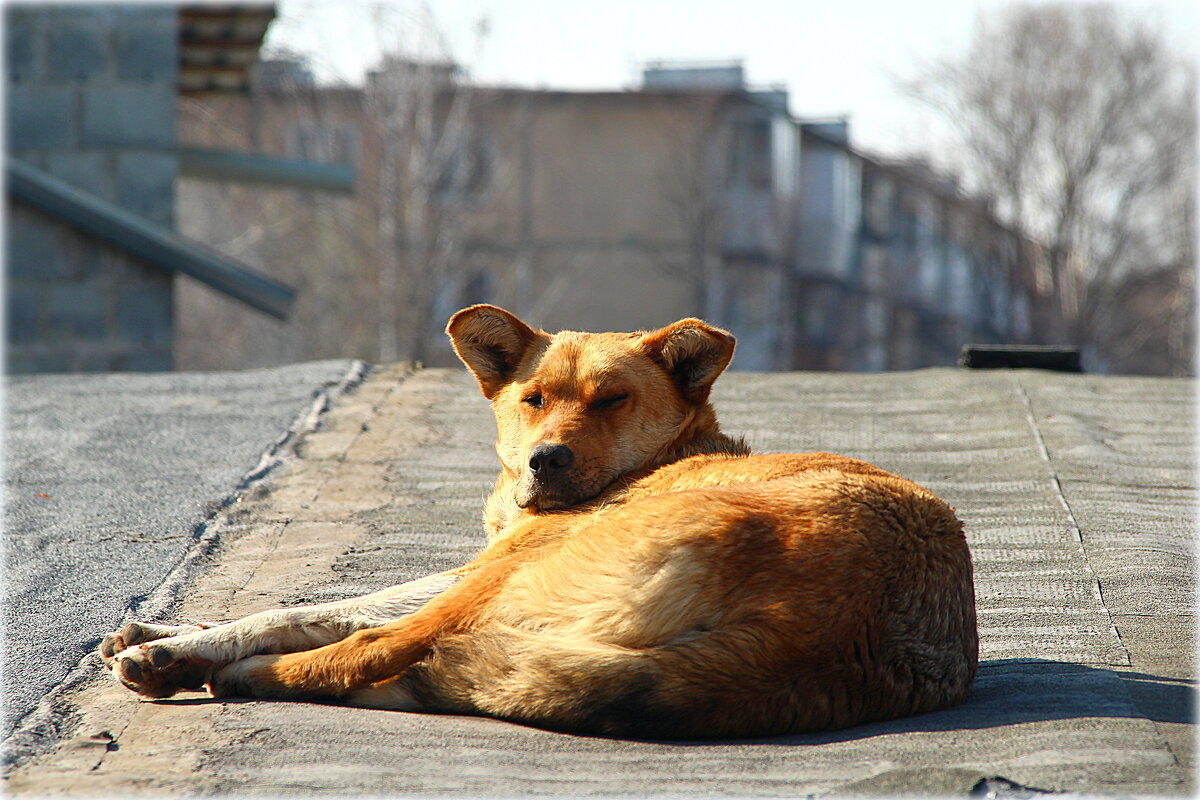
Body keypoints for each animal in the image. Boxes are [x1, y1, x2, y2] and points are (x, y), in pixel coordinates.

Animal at [96, 304, 974, 738]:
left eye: (612, 400)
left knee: (377, 650)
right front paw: (168, 636)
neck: (659, 459)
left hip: (513, 585)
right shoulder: (482, 567)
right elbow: (309, 607)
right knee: (420, 664)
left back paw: (246, 678)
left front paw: (180, 651)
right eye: (534, 398)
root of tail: (822, 637)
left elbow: (336, 619)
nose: (545, 461)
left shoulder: (496, 566)